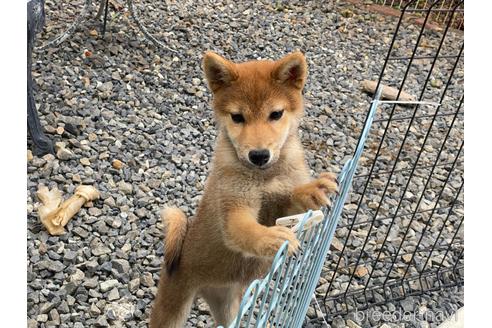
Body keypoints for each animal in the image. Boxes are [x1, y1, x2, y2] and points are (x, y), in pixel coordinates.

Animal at [151, 51, 338, 328]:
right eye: (237, 117)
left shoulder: (279, 203)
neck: (265, 175)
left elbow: (293, 197)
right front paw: (273, 238)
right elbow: (248, 231)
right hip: (172, 310)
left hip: (229, 307)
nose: (258, 155)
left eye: (276, 114)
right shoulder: (235, 208)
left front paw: (313, 191)